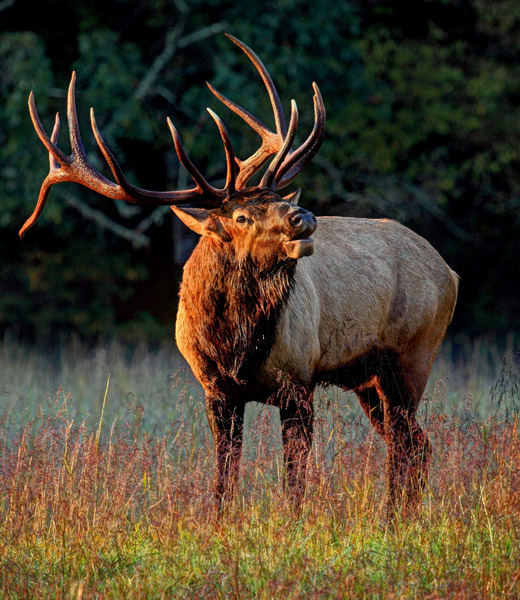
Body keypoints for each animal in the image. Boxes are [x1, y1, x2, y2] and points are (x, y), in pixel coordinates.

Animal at [21, 34, 460, 510]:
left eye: (278, 199)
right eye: (242, 217)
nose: (303, 217)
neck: (236, 347)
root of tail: (450, 271)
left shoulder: (298, 380)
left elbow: (294, 481)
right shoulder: (216, 390)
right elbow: (224, 479)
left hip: (412, 355)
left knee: (407, 444)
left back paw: (395, 516)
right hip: (368, 378)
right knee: (414, 444)